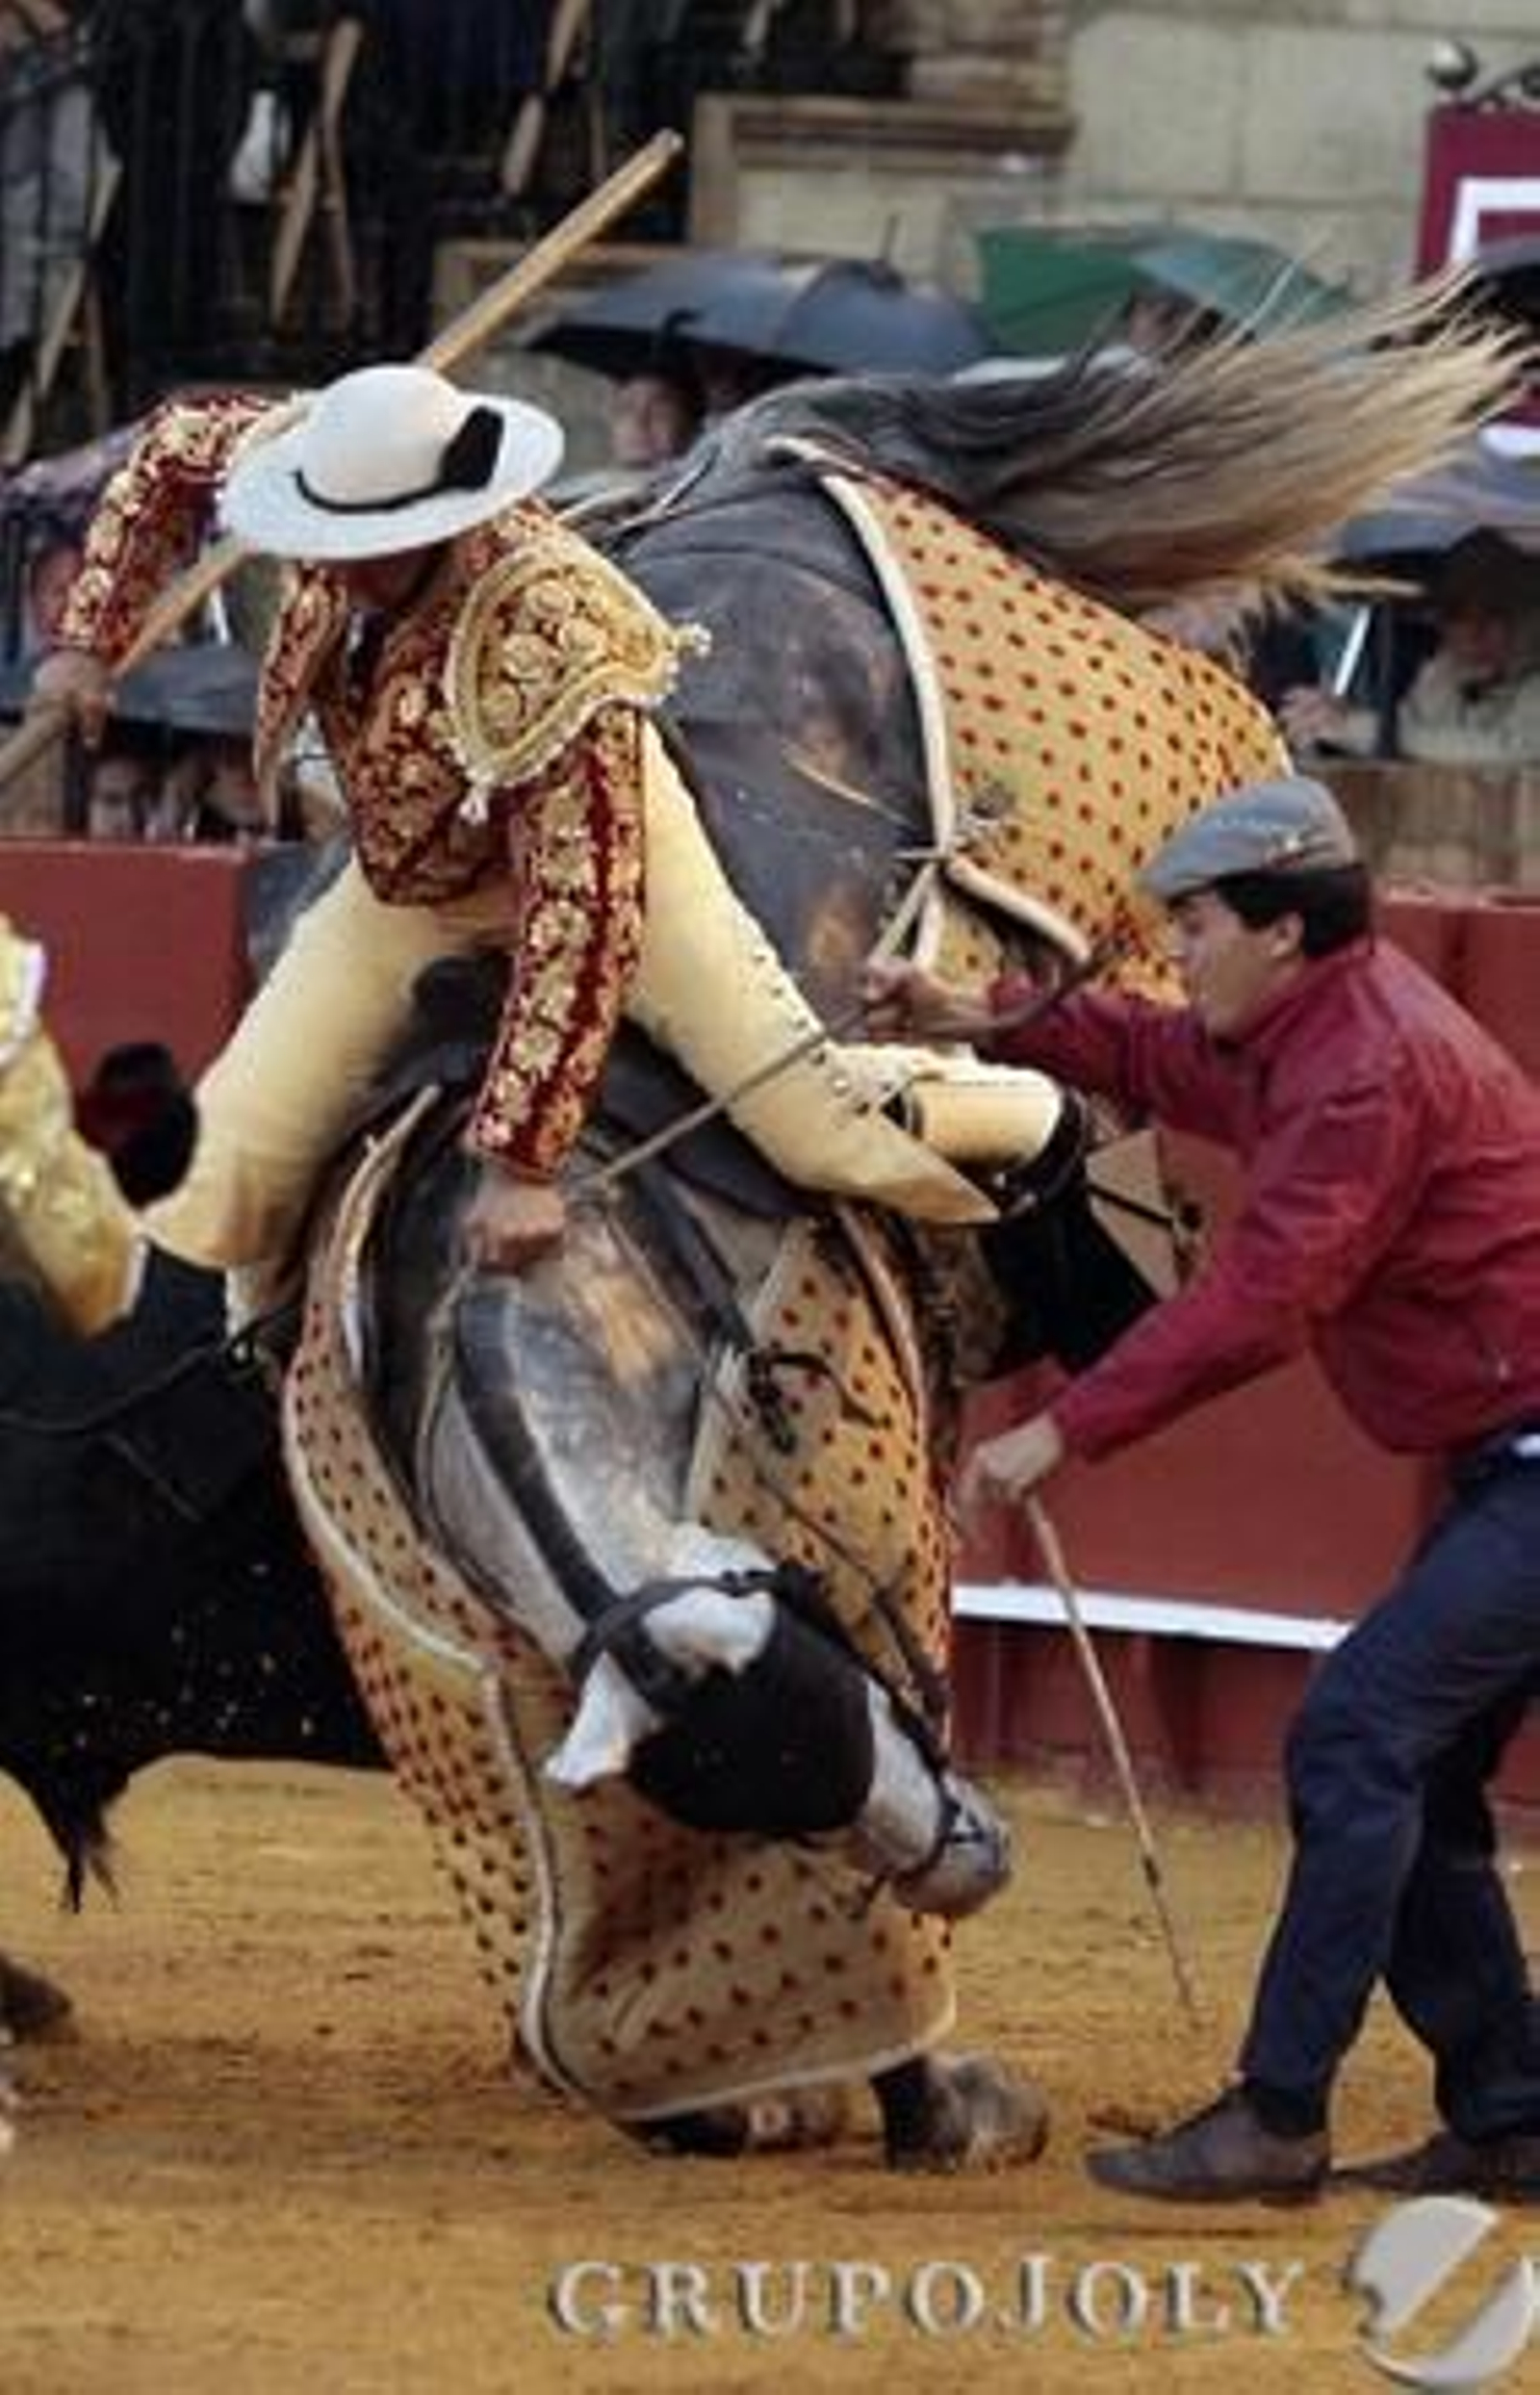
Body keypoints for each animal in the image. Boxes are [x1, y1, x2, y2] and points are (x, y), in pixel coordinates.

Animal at [271, 287, 1523, 2168]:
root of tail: (766, 457)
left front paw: (943, 2100)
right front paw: (761, 2105)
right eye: (802, 1719)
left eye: (830, 1666)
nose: (975, 1857)